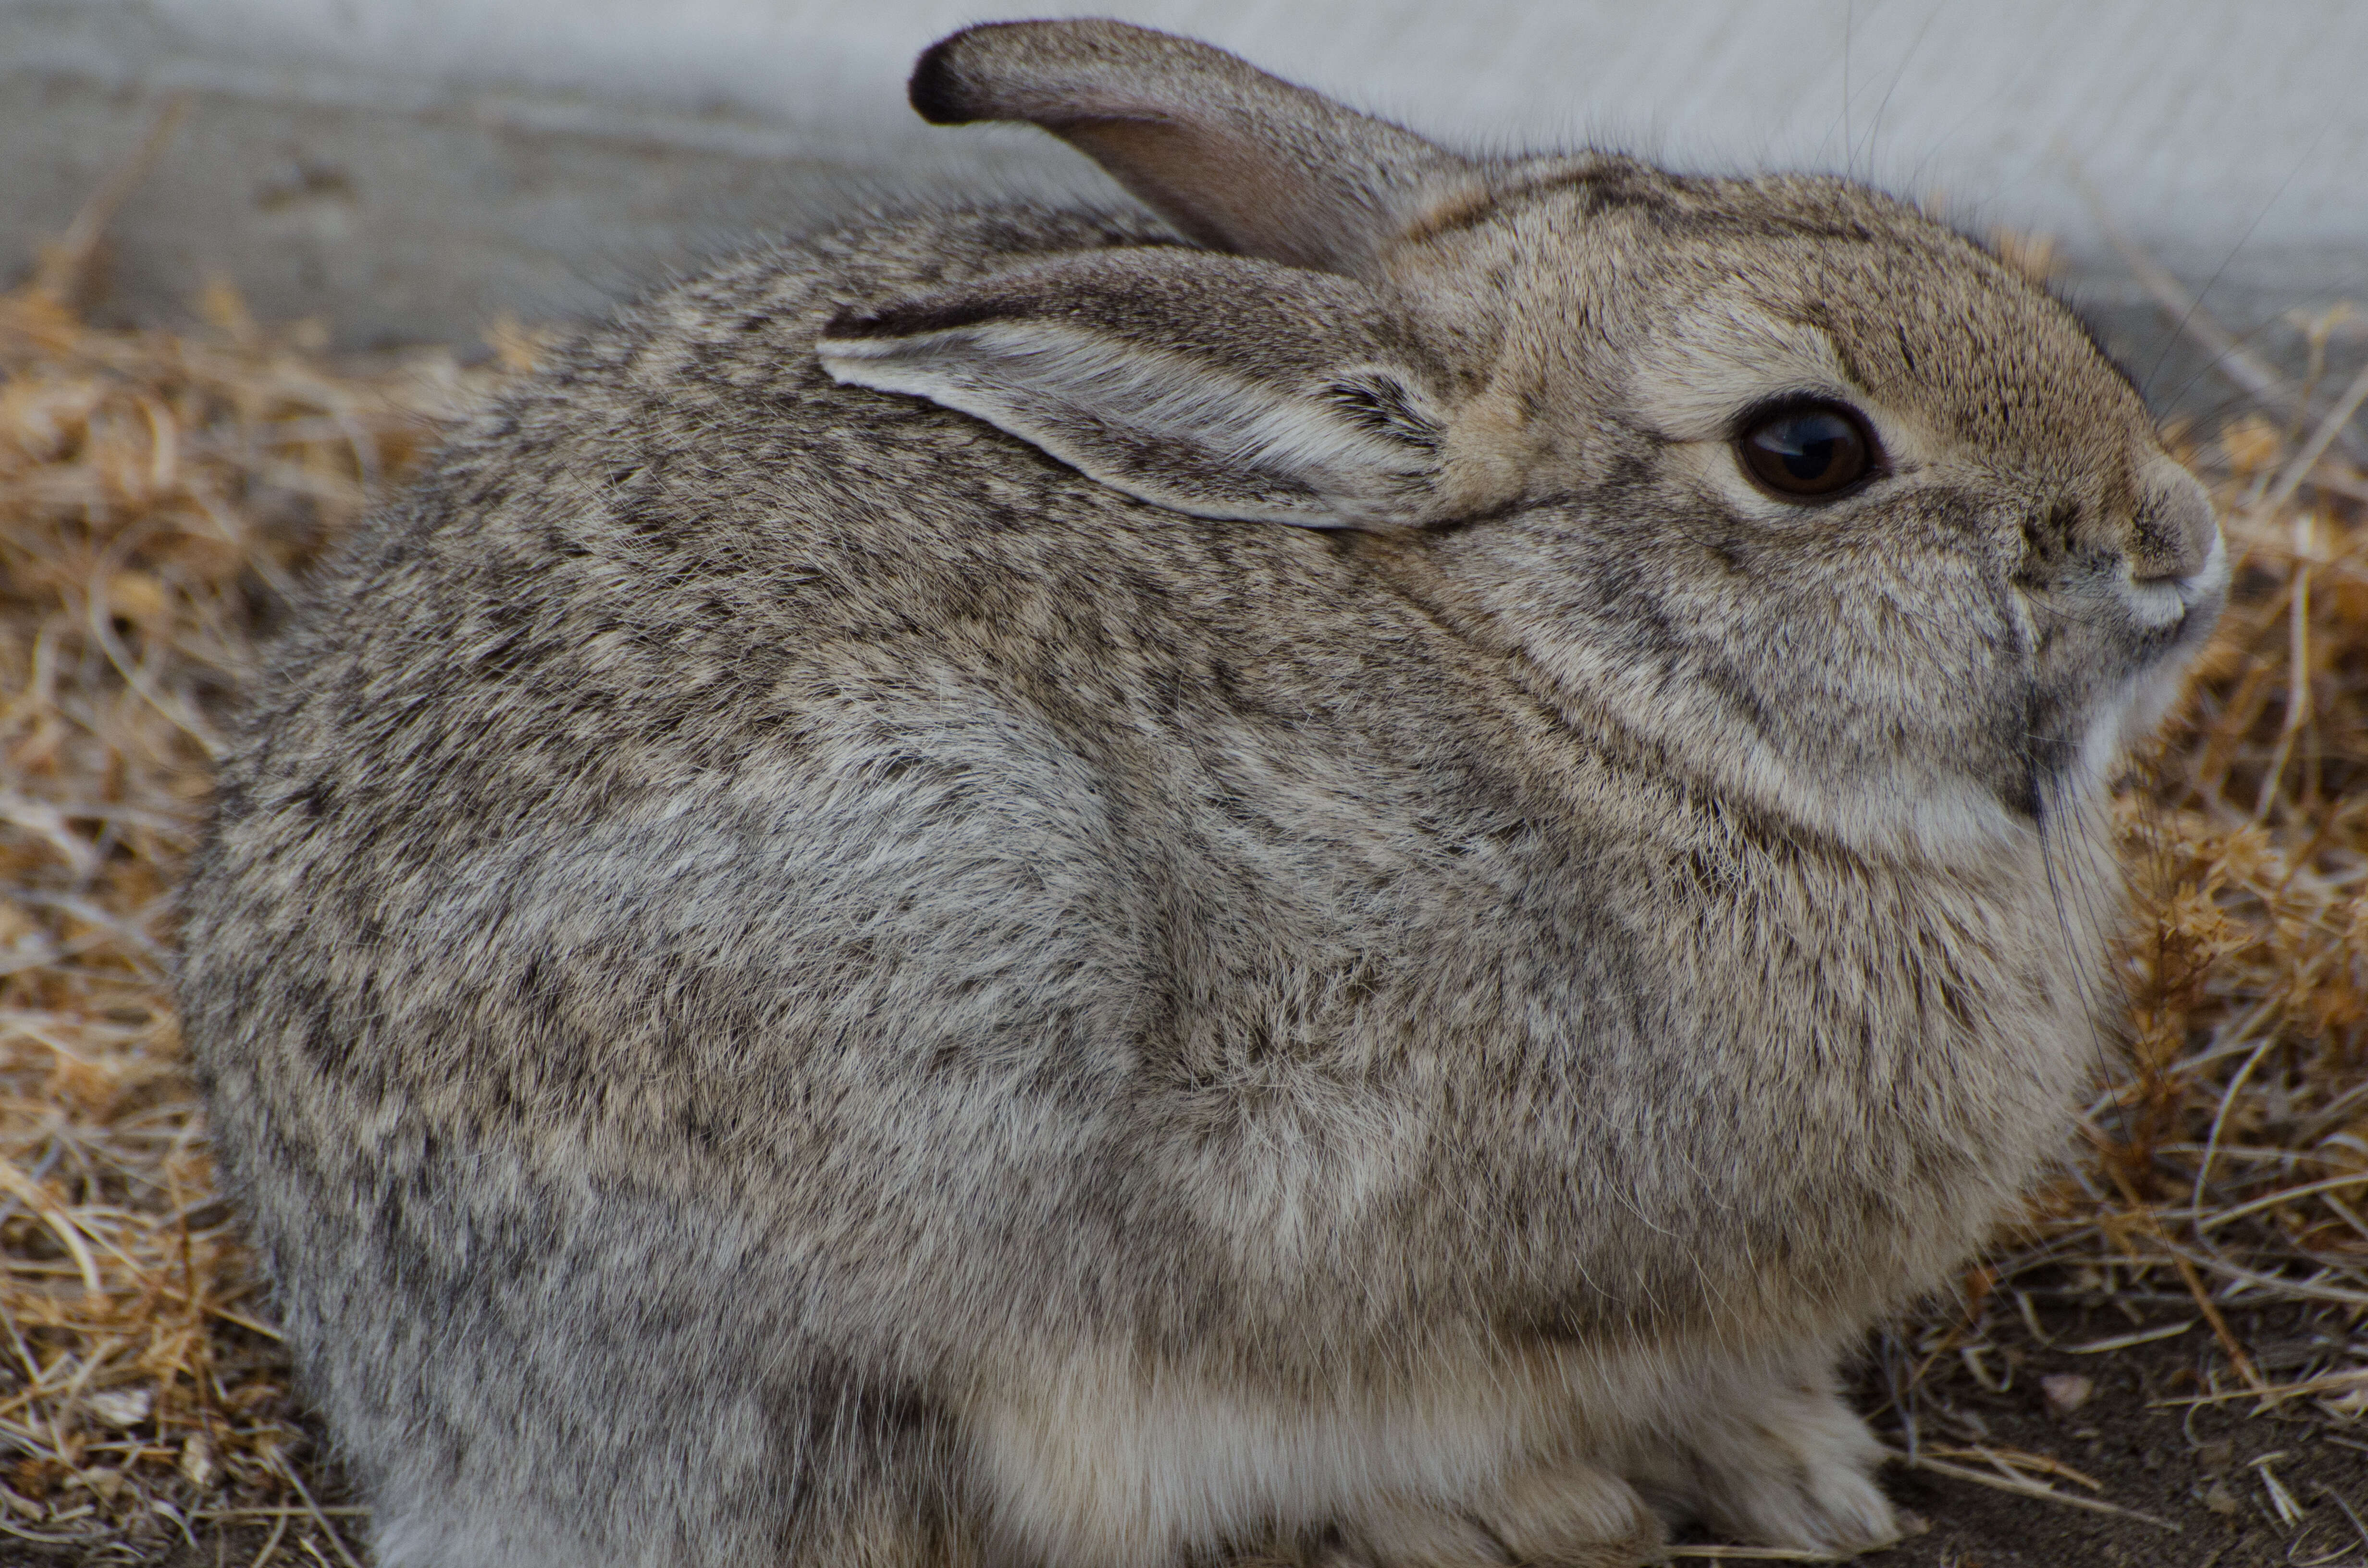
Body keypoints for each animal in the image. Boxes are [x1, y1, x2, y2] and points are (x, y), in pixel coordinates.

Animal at [180, 15, 2216, 1568]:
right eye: (1807, 450)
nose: (2173, 545)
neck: (1607, 698)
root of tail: (376, 1336)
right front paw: (1613, 1497)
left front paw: (1803, 1473)